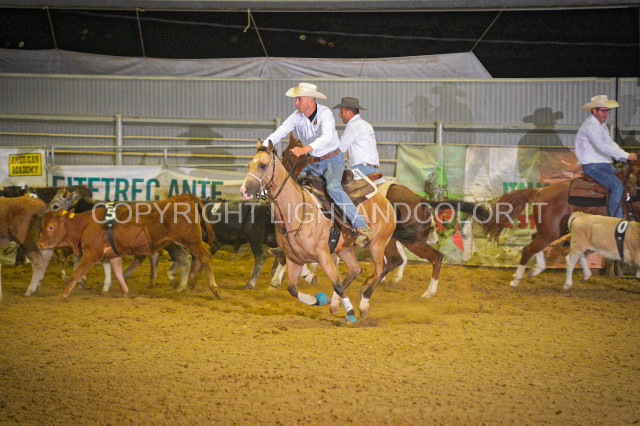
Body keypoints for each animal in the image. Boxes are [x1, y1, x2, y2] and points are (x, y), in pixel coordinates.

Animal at [37, 193, 221, 299]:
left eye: (50, 227)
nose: (40, 244)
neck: (85, 223)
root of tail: (180, 199)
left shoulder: (91, 253)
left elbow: (77, 272)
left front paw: (63, 293)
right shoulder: (111, 253)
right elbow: (115, 271)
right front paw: (120, 290)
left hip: (189, 240)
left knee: (203, 256)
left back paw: (213, 288)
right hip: (184, 241)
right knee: (199, 254)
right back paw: (189, 281)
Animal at [240, 140, 397, 322]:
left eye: (262, 165)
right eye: (249, 164)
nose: (244, 191)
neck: (298, 210)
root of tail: (385, 201)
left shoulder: (323, 254)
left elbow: (337, 284)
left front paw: (350, 314)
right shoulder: (294, 258)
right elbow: (292, 289)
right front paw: (319, 300)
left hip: (377, 244)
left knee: (380, 271)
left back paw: (363, 304)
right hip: (345, 248)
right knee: (355, 270)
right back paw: (335, 304)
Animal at [281, 135, 490, 297]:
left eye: (288, 154)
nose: (283, 170)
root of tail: (419, 198)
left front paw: (306, 276)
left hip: (410, 240)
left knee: (432, 258)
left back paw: (426, 291)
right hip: (398, 239)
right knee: (403, 260)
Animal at [481, 159, 640, 287]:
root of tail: (541, 190)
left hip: (554, 230)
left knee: (534, 241)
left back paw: (536, 270)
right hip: (551, 232)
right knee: (528, 249)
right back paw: (516, 280)